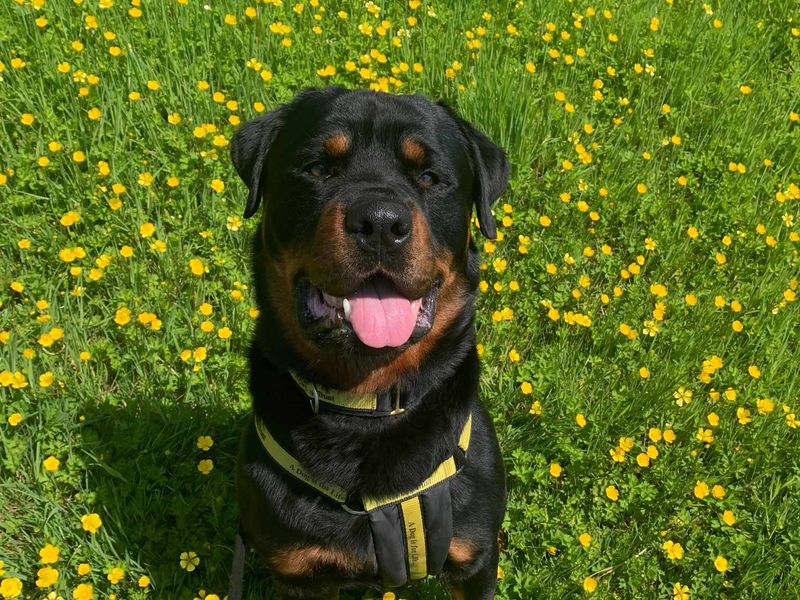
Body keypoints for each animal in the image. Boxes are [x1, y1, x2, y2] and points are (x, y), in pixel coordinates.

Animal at [228, 85, 510, 600]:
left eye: (429, 177)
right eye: (318, 168)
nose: (380, 222)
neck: (368, 405)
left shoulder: (476, 557)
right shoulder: (302, 576)